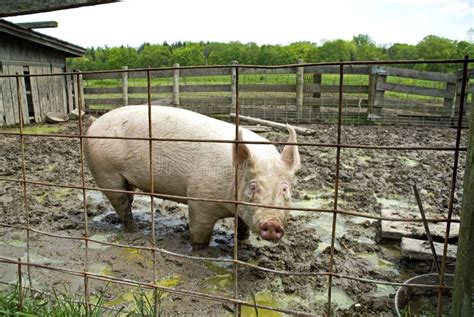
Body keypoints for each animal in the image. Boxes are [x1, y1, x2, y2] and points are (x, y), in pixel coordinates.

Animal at [84, 105, 300, 248]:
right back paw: (134, 231)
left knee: (128, 199)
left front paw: (244, 241)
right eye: (253, 187)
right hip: (105, 171)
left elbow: (242, 226)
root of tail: (94, 124)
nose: (272, 223)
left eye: (285, 188)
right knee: (121, 204)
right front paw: (199, 250)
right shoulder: (200, 200)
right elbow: (199, 232)